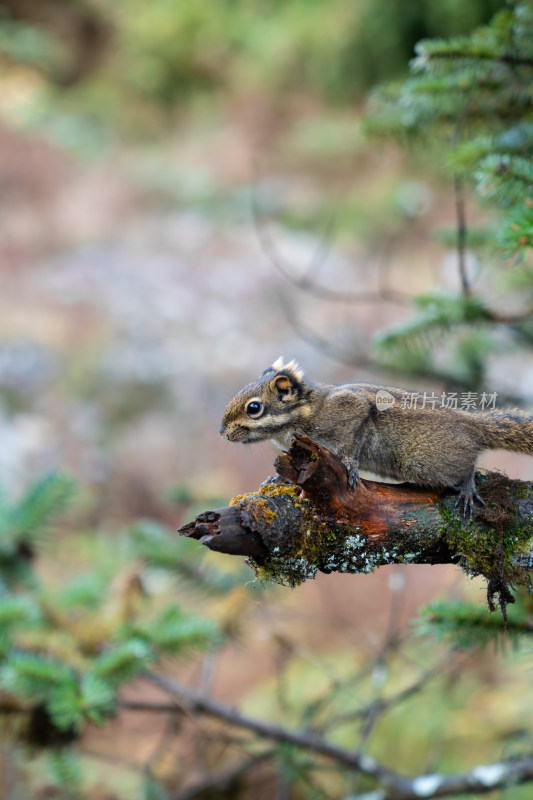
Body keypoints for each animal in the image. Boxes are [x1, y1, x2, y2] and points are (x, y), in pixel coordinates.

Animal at [218, 358, 532, 520]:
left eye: (254, 408)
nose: (223, 433)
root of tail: (469, 424)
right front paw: (275, 479)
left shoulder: (349, 411)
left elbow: (351, 444)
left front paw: (350, 465)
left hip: (424, 462)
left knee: (466, 468)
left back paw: (467, 488)